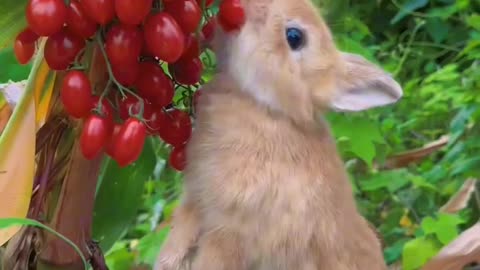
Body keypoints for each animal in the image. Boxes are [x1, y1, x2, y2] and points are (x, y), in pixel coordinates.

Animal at [154, 0, 402, 270]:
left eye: (294, 37)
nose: (253, 4)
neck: (266, 106)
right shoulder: (195, 198)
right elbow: (180, 233)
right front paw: (167, 261)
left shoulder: (231, 233)